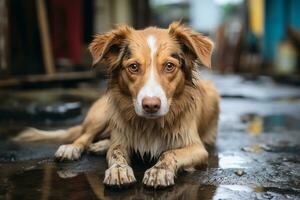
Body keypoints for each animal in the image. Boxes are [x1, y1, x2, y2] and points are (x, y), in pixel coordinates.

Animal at [14, 22, 220, 189]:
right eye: (134, 67)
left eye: (169, 66)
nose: (151, 106)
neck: (150, 125)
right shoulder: (120, 140)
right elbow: (116, 153)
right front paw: (119, 170)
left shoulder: (198, 149)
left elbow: (169, 153)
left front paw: (159, 170)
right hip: (104, 112)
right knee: (85, 135)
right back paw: (73, 148)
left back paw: (100, 145)